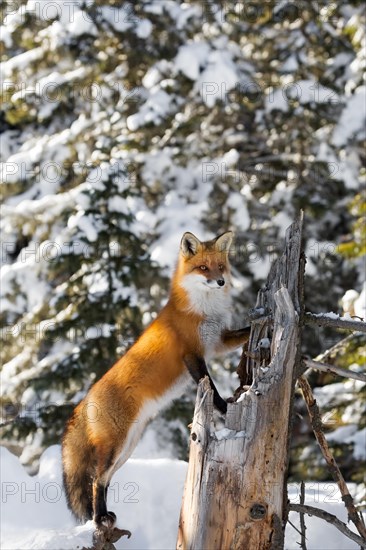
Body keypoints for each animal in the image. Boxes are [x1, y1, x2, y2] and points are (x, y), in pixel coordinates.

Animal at [63, 232, 250, 536]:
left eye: (220, 267)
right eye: (203, 268)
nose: (221, 282)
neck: (202, 310)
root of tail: (84, 399)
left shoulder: (218, 342)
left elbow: (246, 331)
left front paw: (268, 315)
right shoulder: (192, 354)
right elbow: (210, 386)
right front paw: (224, 408)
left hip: (126, 448)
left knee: (104, 480)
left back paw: (102, 516)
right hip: (116, 446)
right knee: (95, 480)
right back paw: (99, 519)